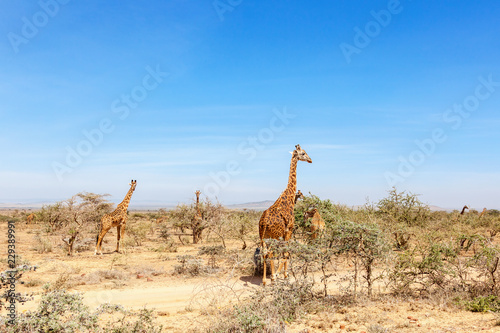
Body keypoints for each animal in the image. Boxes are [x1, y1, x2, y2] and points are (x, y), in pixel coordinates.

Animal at [260, 144, 310, 284]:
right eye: (303, 153)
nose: (310, 160)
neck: (289, 197)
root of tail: (263, 222)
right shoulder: (289, 230)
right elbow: (286, 252)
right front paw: (284, 275)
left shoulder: (284, 234)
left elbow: (284, 252)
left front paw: (283, 275)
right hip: (273, 236)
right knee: (271, 252)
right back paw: (272, 277)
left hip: (263, 236)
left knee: (264, 252)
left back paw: (264, 281)